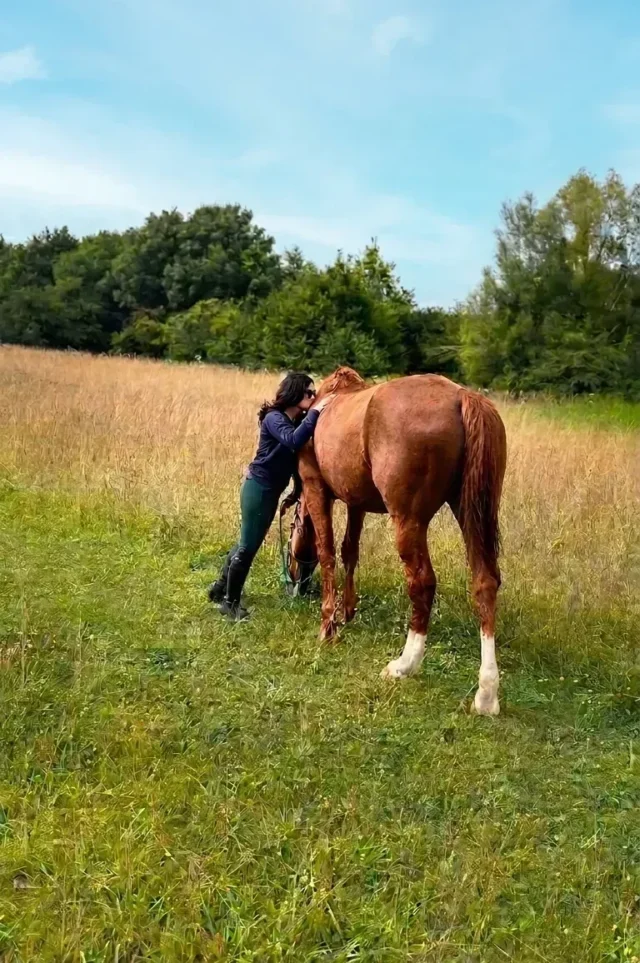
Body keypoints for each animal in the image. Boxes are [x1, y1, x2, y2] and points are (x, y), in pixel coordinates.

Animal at [285, 366, 507, 716]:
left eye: (292, 529)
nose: (293, 578)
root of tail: (462, 397)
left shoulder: (317, 489)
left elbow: (328, 552)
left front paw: (328, 625)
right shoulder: (356, 502)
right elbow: (350, 550)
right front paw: (347, 610)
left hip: (409, 521)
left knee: (422, 583)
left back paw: (405, 664)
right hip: (472, 514)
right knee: (485, 582)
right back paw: (486, 694)